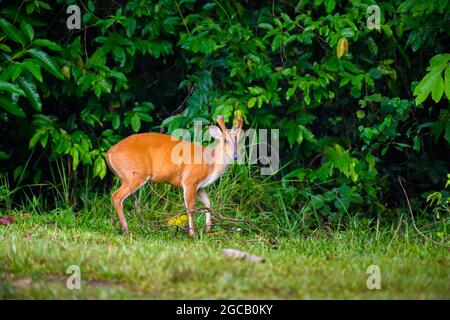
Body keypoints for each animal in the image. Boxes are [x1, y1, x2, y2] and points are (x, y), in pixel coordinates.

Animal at [105, 115, 243, 238]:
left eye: (240, 140)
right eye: (225, 140)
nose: (236, 156)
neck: (210, 164)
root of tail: (109, 153)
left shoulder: (200, 186)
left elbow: (208, 203)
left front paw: (208, 229)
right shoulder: (189, 180)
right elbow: (191, 208)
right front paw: (193, 234)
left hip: (126, 177)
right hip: (134, 175)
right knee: (116, 196)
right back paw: (126, 230)